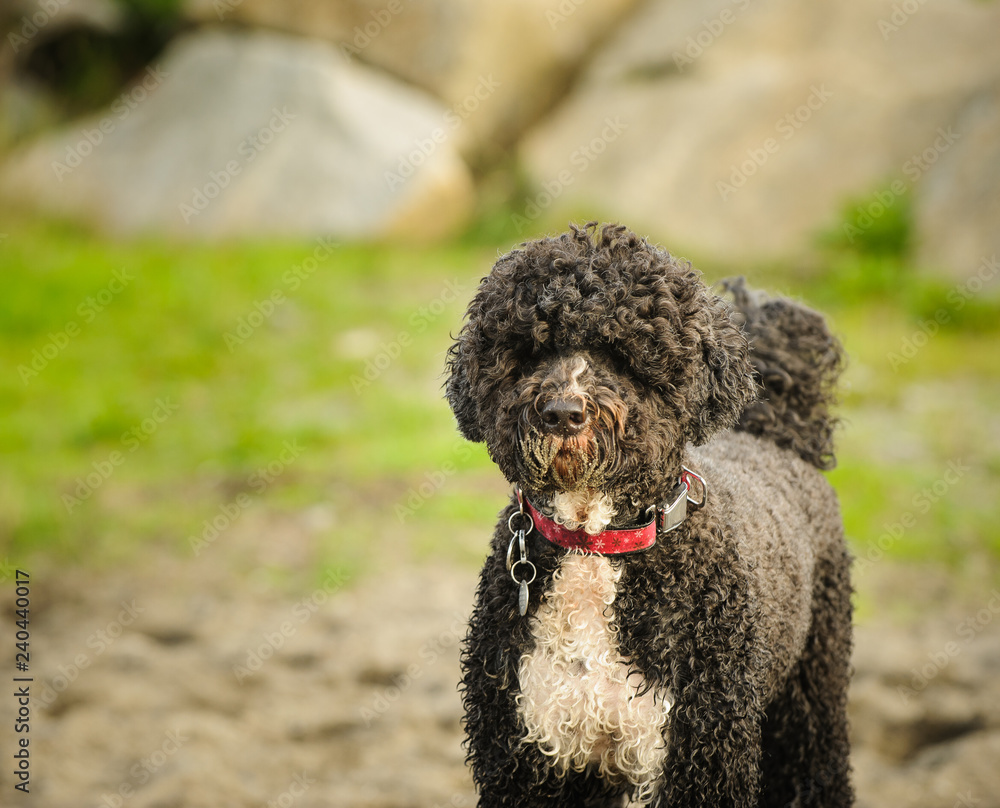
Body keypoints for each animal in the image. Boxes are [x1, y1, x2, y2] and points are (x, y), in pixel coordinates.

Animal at [446, 223, 852, 808]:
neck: (593, 544)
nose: (562, 412)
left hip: (812, 696)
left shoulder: (700, 754)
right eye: (529, 349)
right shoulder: (522, 754)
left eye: (622, 353)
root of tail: (776, 433)